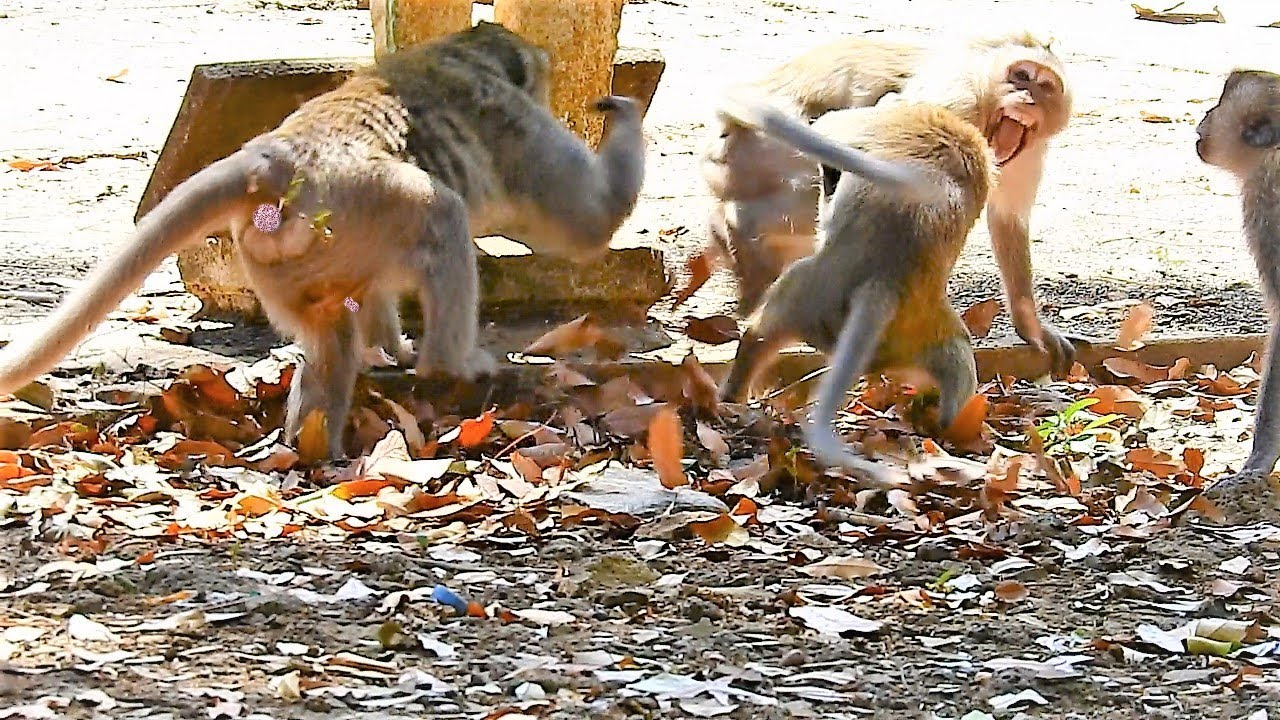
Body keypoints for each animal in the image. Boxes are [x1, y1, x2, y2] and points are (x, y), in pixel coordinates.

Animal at [0, 22, 645, 460]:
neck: (465, 54)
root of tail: (272, 162)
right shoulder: (512, 123)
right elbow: (592, 222)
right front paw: (624, 112)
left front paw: (391, 346)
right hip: (360, 201)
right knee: (439, 214)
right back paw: (450, 363)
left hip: (286, 259)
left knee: (331, 333)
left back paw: (315, 446)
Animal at [698, 31, 1075, 374]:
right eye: (1021, 75)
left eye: (1043, 85)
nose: (1025, 97)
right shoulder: (956, 99)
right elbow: (871, 126)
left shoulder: (1029, 151)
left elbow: (1007, 220)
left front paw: (1031, 326)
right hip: (768, 145)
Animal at [715, 95, 994, 485]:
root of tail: (886, 281)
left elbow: (828, 131)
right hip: (913, 334)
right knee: (957, 363)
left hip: (812, 287)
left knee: (761, 330)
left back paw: (730, 395)